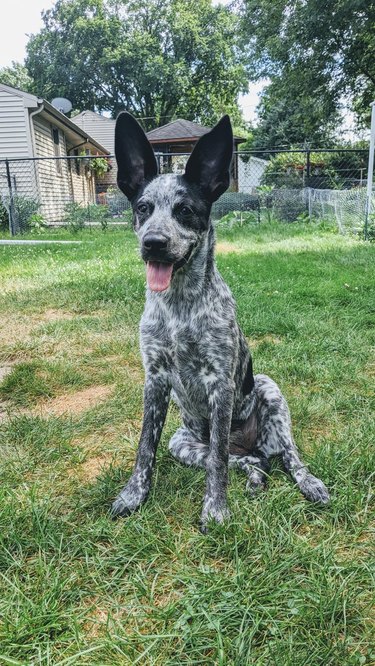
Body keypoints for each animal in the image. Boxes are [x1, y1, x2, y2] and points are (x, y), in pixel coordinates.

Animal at [111, 113, 328, 528]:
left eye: (185, 210)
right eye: (143, 207)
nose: (153, 243)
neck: (179, 307)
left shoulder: (221, 383)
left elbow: (217, 462)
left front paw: (215, 507)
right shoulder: (154, 379)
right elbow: (145, 448)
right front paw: (133, 495)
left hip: (272, 395)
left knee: (284, 457)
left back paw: (309, 483)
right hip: (182, 443)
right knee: (249, 461)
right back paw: (255, 479)